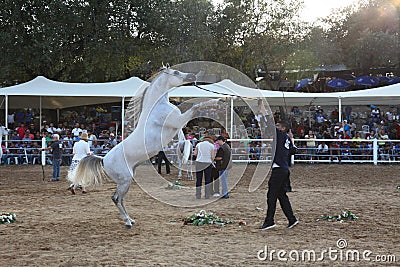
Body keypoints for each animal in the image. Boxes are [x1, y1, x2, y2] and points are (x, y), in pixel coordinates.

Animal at [72, 68, 222, 229]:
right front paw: (216, 101)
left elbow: (185, 133)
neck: (156, 107)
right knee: (116, 198)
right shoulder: (178, 121)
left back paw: (131, 219)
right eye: (176, 72)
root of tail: (103, 159)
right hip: (125, 180)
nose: (192, 76)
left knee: (121, 199)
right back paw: (127, 222)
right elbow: (195, 108)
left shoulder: (178, 125)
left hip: (126, 181)